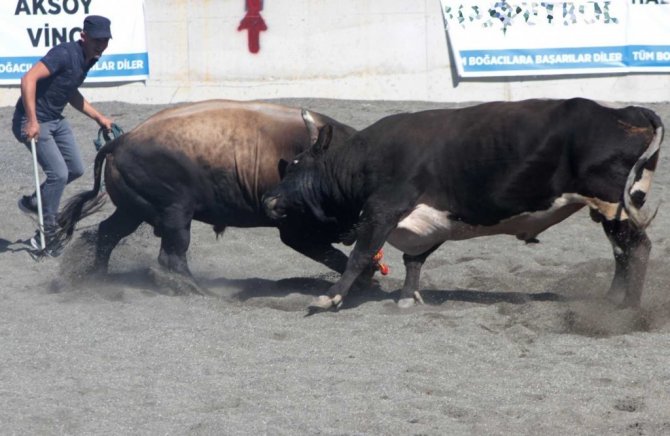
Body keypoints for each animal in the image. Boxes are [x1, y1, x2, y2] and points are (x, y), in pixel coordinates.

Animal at [56, 99, 359, 294]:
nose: (352, 229)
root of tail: (122, 140)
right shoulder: (295, 232)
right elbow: (335, 256)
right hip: (176, 214)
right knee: (171, 255)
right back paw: (195, 289)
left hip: (133, 212)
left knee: (109, 233)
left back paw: (97, 277)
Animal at [263, 98, 663, 312]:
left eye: (295, 164)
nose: (269, 199)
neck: (364, 160)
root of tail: (626, 112)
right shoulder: (436, 219)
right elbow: (414, 259)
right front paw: (407, 298)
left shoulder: (383, 209)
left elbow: (361, 254)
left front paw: (328, 299)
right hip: (614, 209)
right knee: (621, 252)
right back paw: (612, 298)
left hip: (614, 204)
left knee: (638, 248)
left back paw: (629, 308)